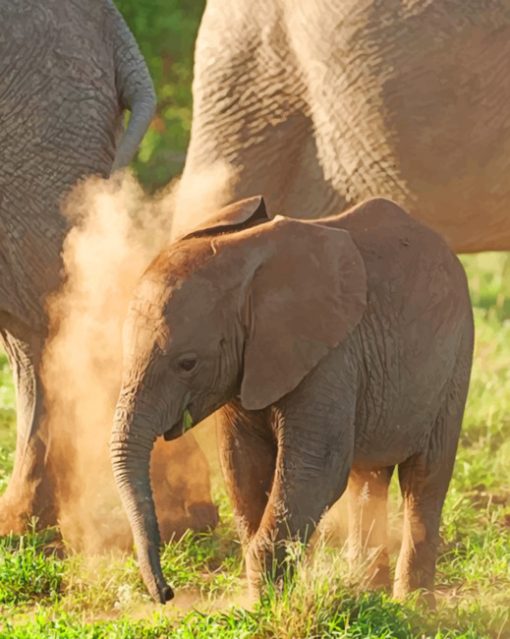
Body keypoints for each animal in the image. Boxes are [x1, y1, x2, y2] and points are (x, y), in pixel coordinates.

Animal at [110, 195, 474, 604]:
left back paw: (413, 605)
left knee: (425, 476)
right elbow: (242, 465)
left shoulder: (330, 357)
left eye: (187, 363)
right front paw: (266, 598)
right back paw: (368, 590)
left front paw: (263, 604)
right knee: (368, 476)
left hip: (456, 358)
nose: (167, 592)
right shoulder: (247, 364)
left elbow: (315, 469)